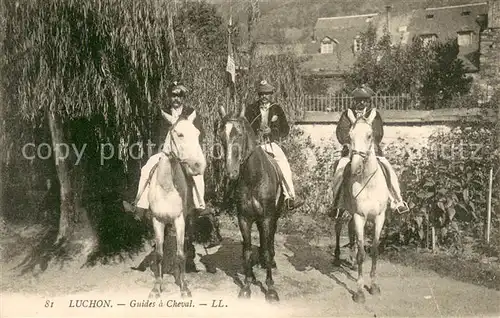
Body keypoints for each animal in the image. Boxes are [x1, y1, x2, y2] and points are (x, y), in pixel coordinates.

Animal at [217, 105, 284, 304]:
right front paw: (246, 285)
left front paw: (271, 289)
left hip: (274, 216)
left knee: (269, 239)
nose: (231, 172)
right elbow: (246, 251)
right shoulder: (244, 219)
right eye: (220, 136)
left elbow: (268, 248)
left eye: (239, 134)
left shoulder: (268, 217)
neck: (254, 178)